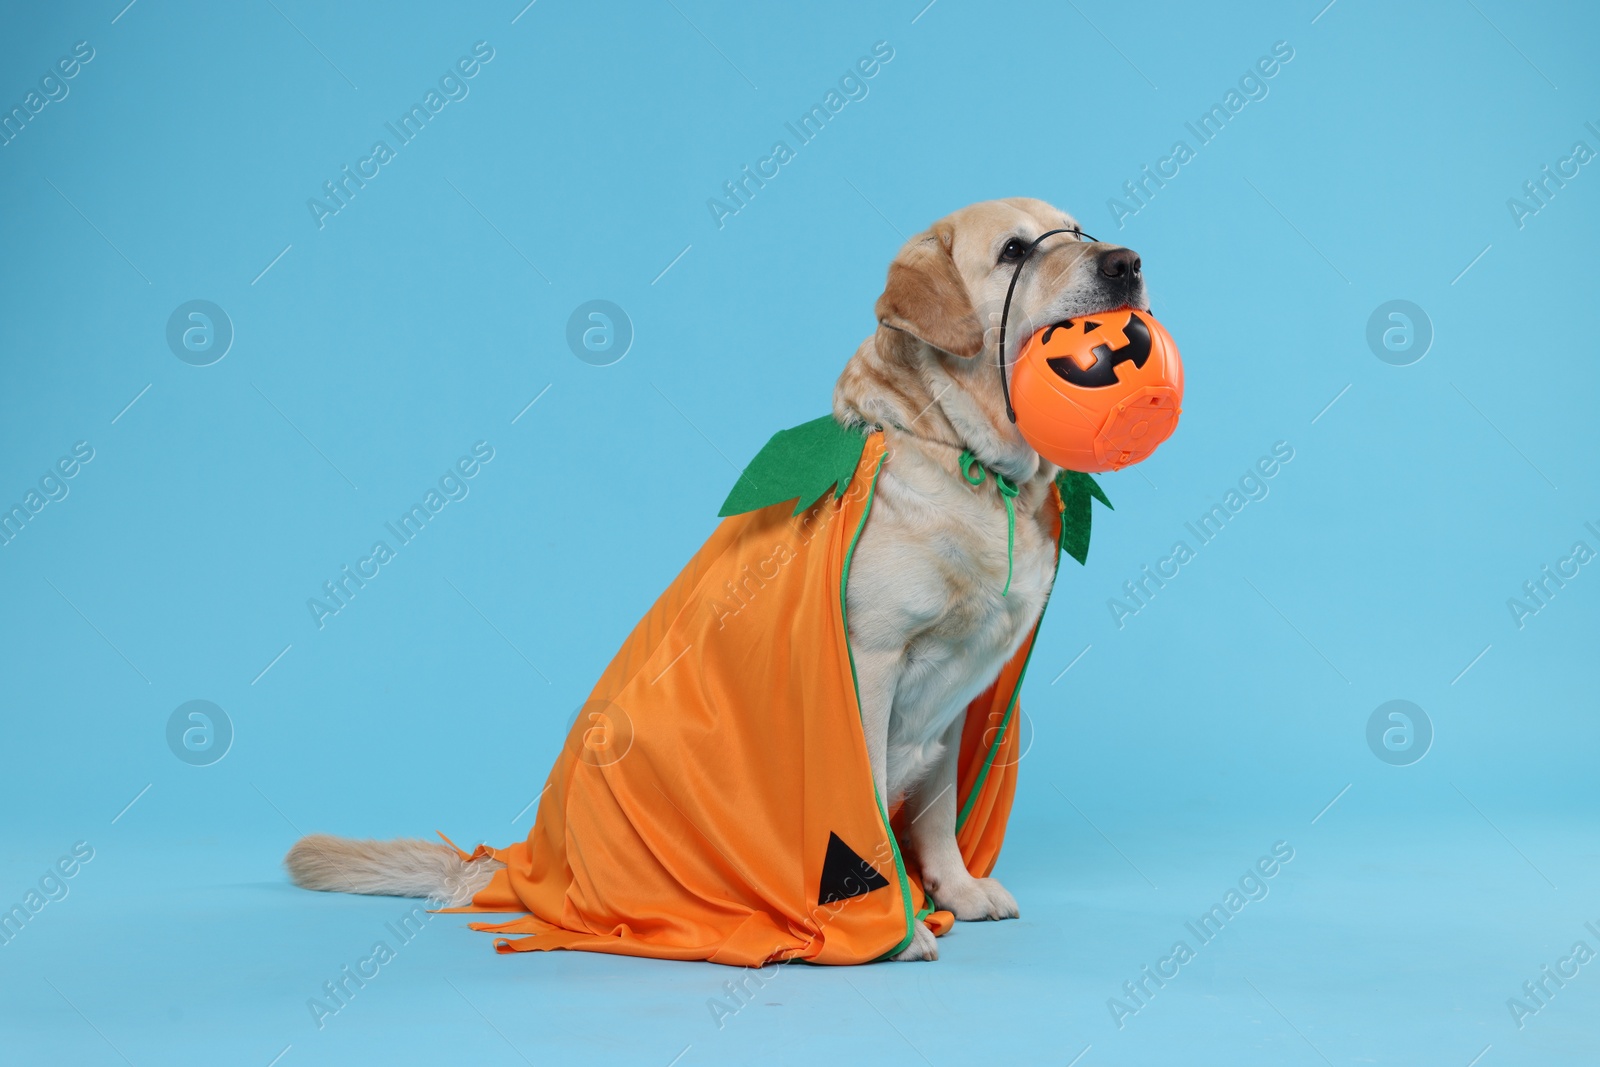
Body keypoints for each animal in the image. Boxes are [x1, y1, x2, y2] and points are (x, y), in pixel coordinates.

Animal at [284, 195, 1139, 966]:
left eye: (1078, 230)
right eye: (1014, 252)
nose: (1128, 264)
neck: (964, 458)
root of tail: (521, 864)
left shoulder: (959, 698)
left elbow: (934, 811)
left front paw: (956, 890)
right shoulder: (871, 661)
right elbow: (862, 807)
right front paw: (897, 924)